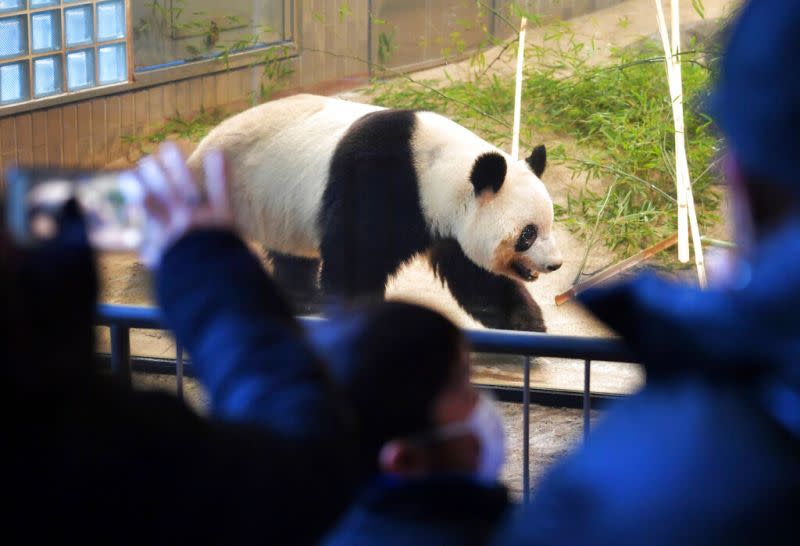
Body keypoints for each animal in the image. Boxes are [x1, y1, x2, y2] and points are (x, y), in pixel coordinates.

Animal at [188, 93, 564, 330]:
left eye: (549, 225)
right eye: (528, 234)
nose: (555, 265)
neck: (434, 170)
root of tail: (197, 151)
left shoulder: (449, 226)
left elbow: (476, 276)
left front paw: (527, 322)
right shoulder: (376, 182)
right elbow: (354, 261)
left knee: (292, 258)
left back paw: (305, 301)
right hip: (228, 191)